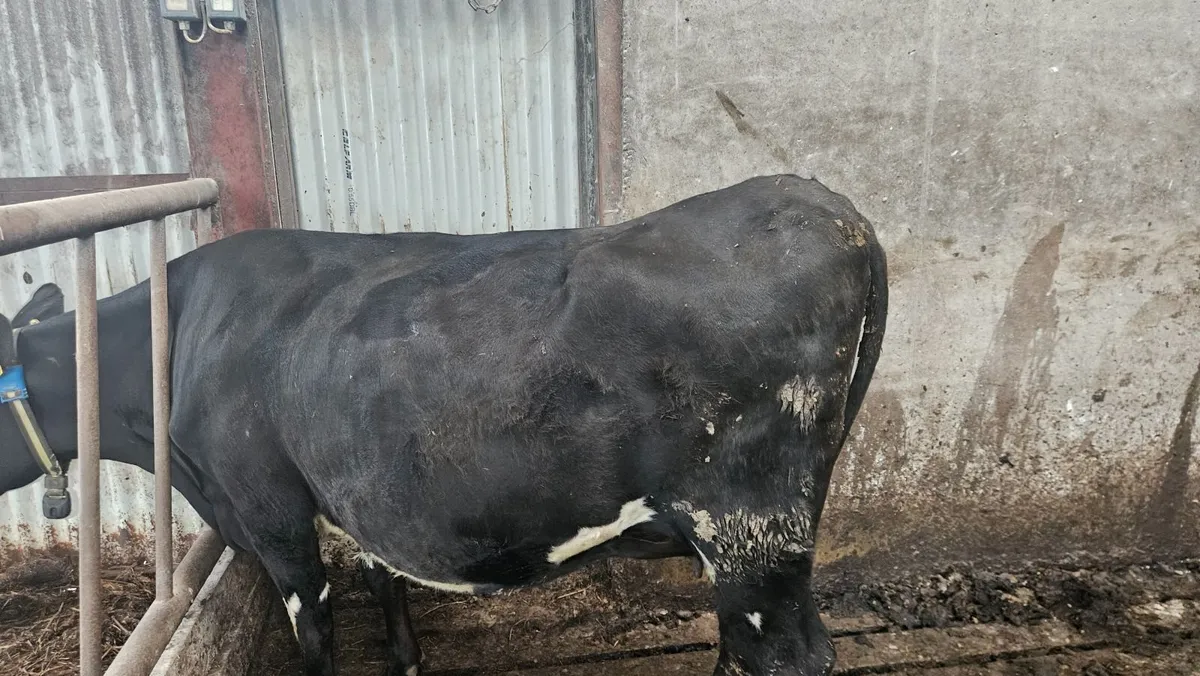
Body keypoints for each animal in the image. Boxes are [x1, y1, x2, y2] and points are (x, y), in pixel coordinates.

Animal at [0, 174, 887, 676]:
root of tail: (824, 202)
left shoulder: (269, 507)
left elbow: (316, 631)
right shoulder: (363, 493)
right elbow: (386, 594)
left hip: (750, 527)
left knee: (789, 655)